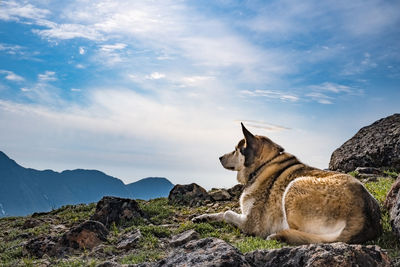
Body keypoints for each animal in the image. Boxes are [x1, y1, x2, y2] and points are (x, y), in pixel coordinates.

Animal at [194, 123, 382, 245]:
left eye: (235, 150)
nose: (219, 157)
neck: (265, 163)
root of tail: (364, 217)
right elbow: (221, 213)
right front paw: (203, 217)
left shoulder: (251, 223)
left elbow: (227, 213)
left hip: (294, 187)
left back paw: (280, 235)